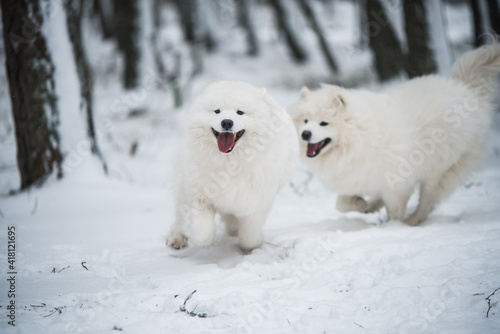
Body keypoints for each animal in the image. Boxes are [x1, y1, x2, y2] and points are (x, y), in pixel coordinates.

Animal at [166, 80, 296, 250]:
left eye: (240, 112)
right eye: (217, 111)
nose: (227, 122)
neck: (228, 162)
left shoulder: (256, 201)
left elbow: (249, 236)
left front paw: (251, 247)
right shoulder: (200, 193)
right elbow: (202, 230)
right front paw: (196, 236)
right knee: (180, 214)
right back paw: (177, 238)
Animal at [290, 43, 500, 226]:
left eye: (323, 123)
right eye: (306, 121)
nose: (305, 134)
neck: (359, 138)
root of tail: (466, 89)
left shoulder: (397, 183)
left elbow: (395, 210)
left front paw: (391, 227)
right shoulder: (358, 176)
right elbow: (342, 203)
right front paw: (362, 204)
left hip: (439, 172)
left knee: (427, 203)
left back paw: (411, 222)